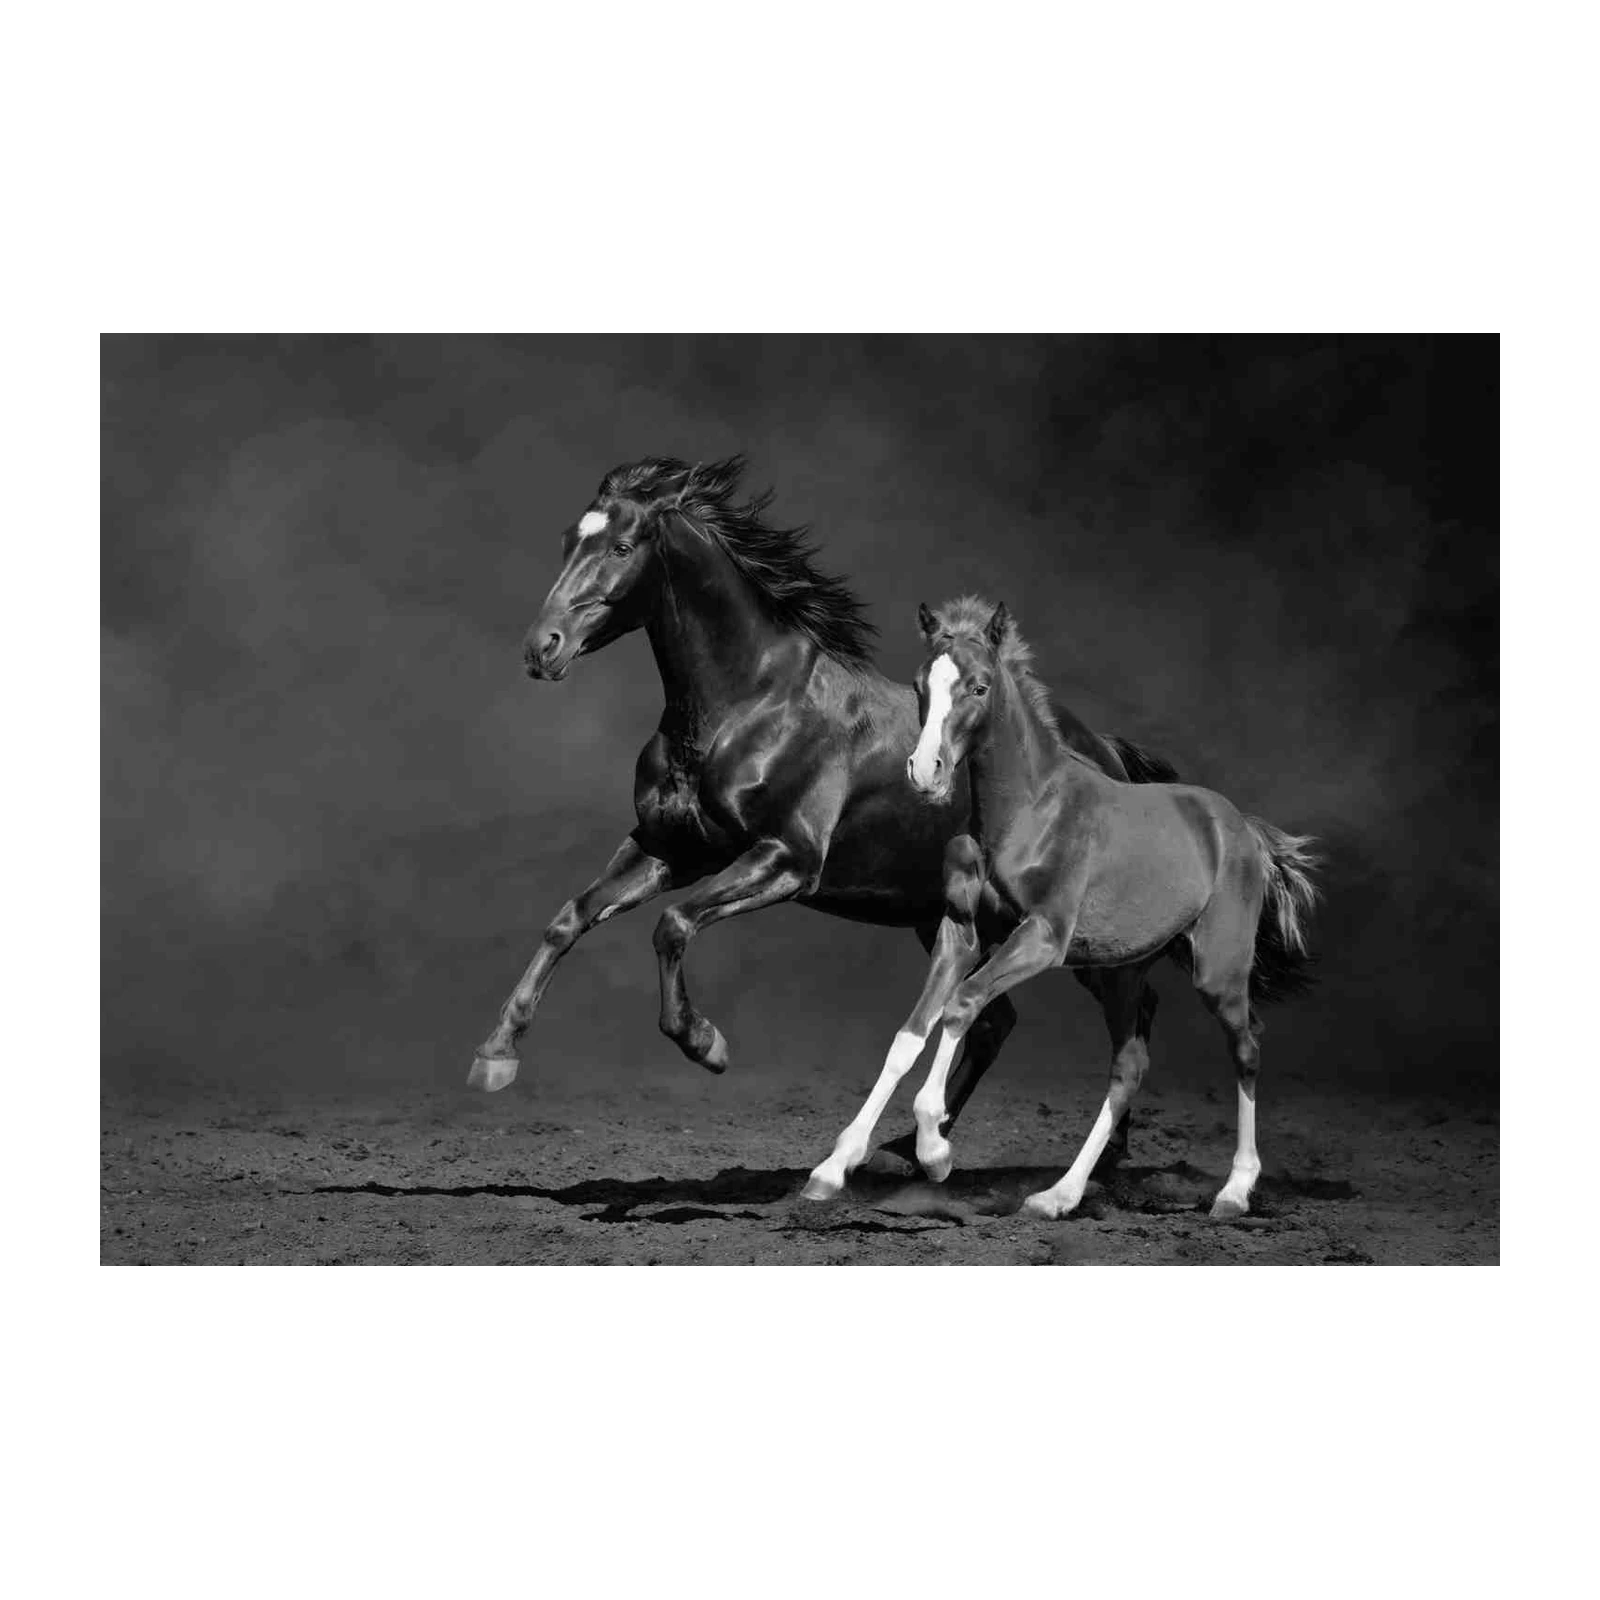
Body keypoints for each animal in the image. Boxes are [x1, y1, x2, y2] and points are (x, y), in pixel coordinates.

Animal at [466, 456, 1182, 1173]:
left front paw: (705, 1043)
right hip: (944, 916)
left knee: (1132, 1009)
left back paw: (1104, 1155)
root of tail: (1105, 754)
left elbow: (673, 925)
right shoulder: (671, 848)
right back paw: (914, 1149)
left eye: (620, 547)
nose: (543, 647)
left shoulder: (786, 859)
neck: (750, 703)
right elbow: (570, 919)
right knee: (996, 1022)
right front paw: (495, 1057)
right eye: (568, 540)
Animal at [803, 595, 1320, 1218]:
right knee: (1129, 1066)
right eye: (921, 684)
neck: (1028, 812)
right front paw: (833, 1167)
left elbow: (962, 1004)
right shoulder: (960, 932)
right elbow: (911, 1033)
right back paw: (1058, 1195)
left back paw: (1236, 1190)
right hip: (1121, 970)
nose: (925, 771)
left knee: (1245, 1048)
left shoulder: (1043, 937)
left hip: (1217, 969)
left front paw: (934, 1150)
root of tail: (1242, 827)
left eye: (979, 687)